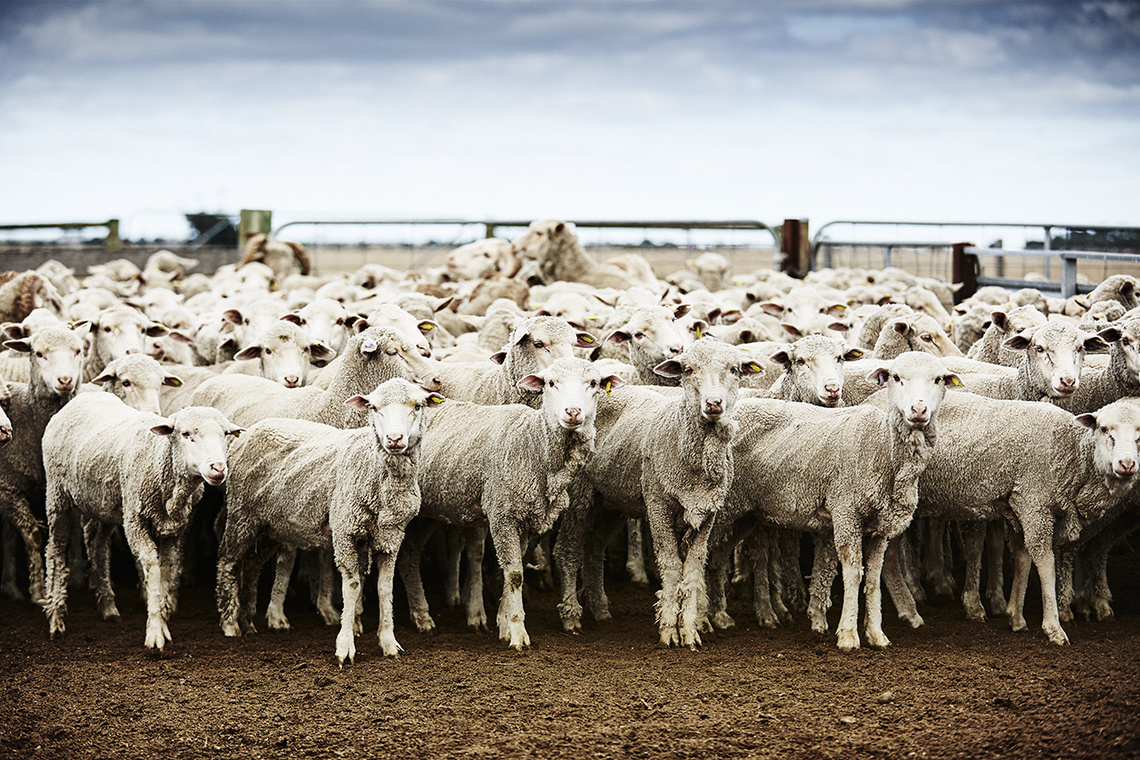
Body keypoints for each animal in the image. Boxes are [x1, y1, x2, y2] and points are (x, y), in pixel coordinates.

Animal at [0, 323, 85, 601]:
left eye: (78, 351)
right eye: (39, 354)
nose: (65, 380)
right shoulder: (8, 489)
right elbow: (34, 535)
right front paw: (38, 589)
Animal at [215, 378, 442, 665]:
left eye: (418, 406)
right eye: (374, 407)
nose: (393, 439)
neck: (372, 470)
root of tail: (250, 431)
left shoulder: (391, 536)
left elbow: (384, 589)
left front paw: (389, 642)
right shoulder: (345, 530)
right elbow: (352, 586)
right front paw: (345, 646)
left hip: (269, 525)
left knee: (253, 565)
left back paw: (247, 619)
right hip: (241, 515)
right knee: (227, 562)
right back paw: (230, 623)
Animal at [549, 339, 756, 647]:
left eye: (734, 370)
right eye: (688, 369)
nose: (713, 404)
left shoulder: (707, 513)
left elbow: (693, 570)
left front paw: (690, 631)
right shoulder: (658, 504)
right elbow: (670, 566)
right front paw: (670, 631)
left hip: (611, 500)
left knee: (594, 548)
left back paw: (600, 609)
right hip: (580, 494)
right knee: (568, 550)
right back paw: (571, 616)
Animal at [706, 353, 957, 651]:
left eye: (938, 379)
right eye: (896, 377)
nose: (918, 410)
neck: (882, 447)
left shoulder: (881, 528)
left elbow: (873, 579)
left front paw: (876, 634)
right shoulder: (846, 512)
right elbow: (853, 574)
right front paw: (848, 635)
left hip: (745, 512)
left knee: (717, 554)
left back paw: (720, 615)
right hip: (722, 506)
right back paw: (700, 621)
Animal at [875, 396, 1140, 647]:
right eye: (1104, 428)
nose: (1127, 465)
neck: (1070, 451)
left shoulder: (1020, 505)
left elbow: (1023, 557)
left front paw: (1016, 617)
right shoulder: (1033, 501)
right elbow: (1045, 562)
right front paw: (1053, 627)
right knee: (888, 554)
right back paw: (908, 611)